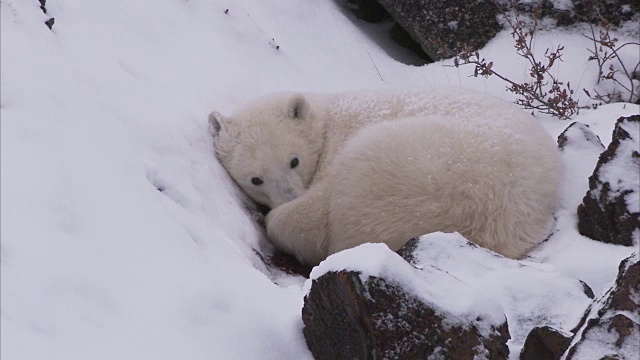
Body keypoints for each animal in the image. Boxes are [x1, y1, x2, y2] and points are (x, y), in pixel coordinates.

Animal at [210, 87, 560, 266]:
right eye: (255, 179)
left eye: (294, 161)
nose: (290, 197)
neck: (329, 120)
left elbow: (311, 217)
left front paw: (280, 219)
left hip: (401, 167)